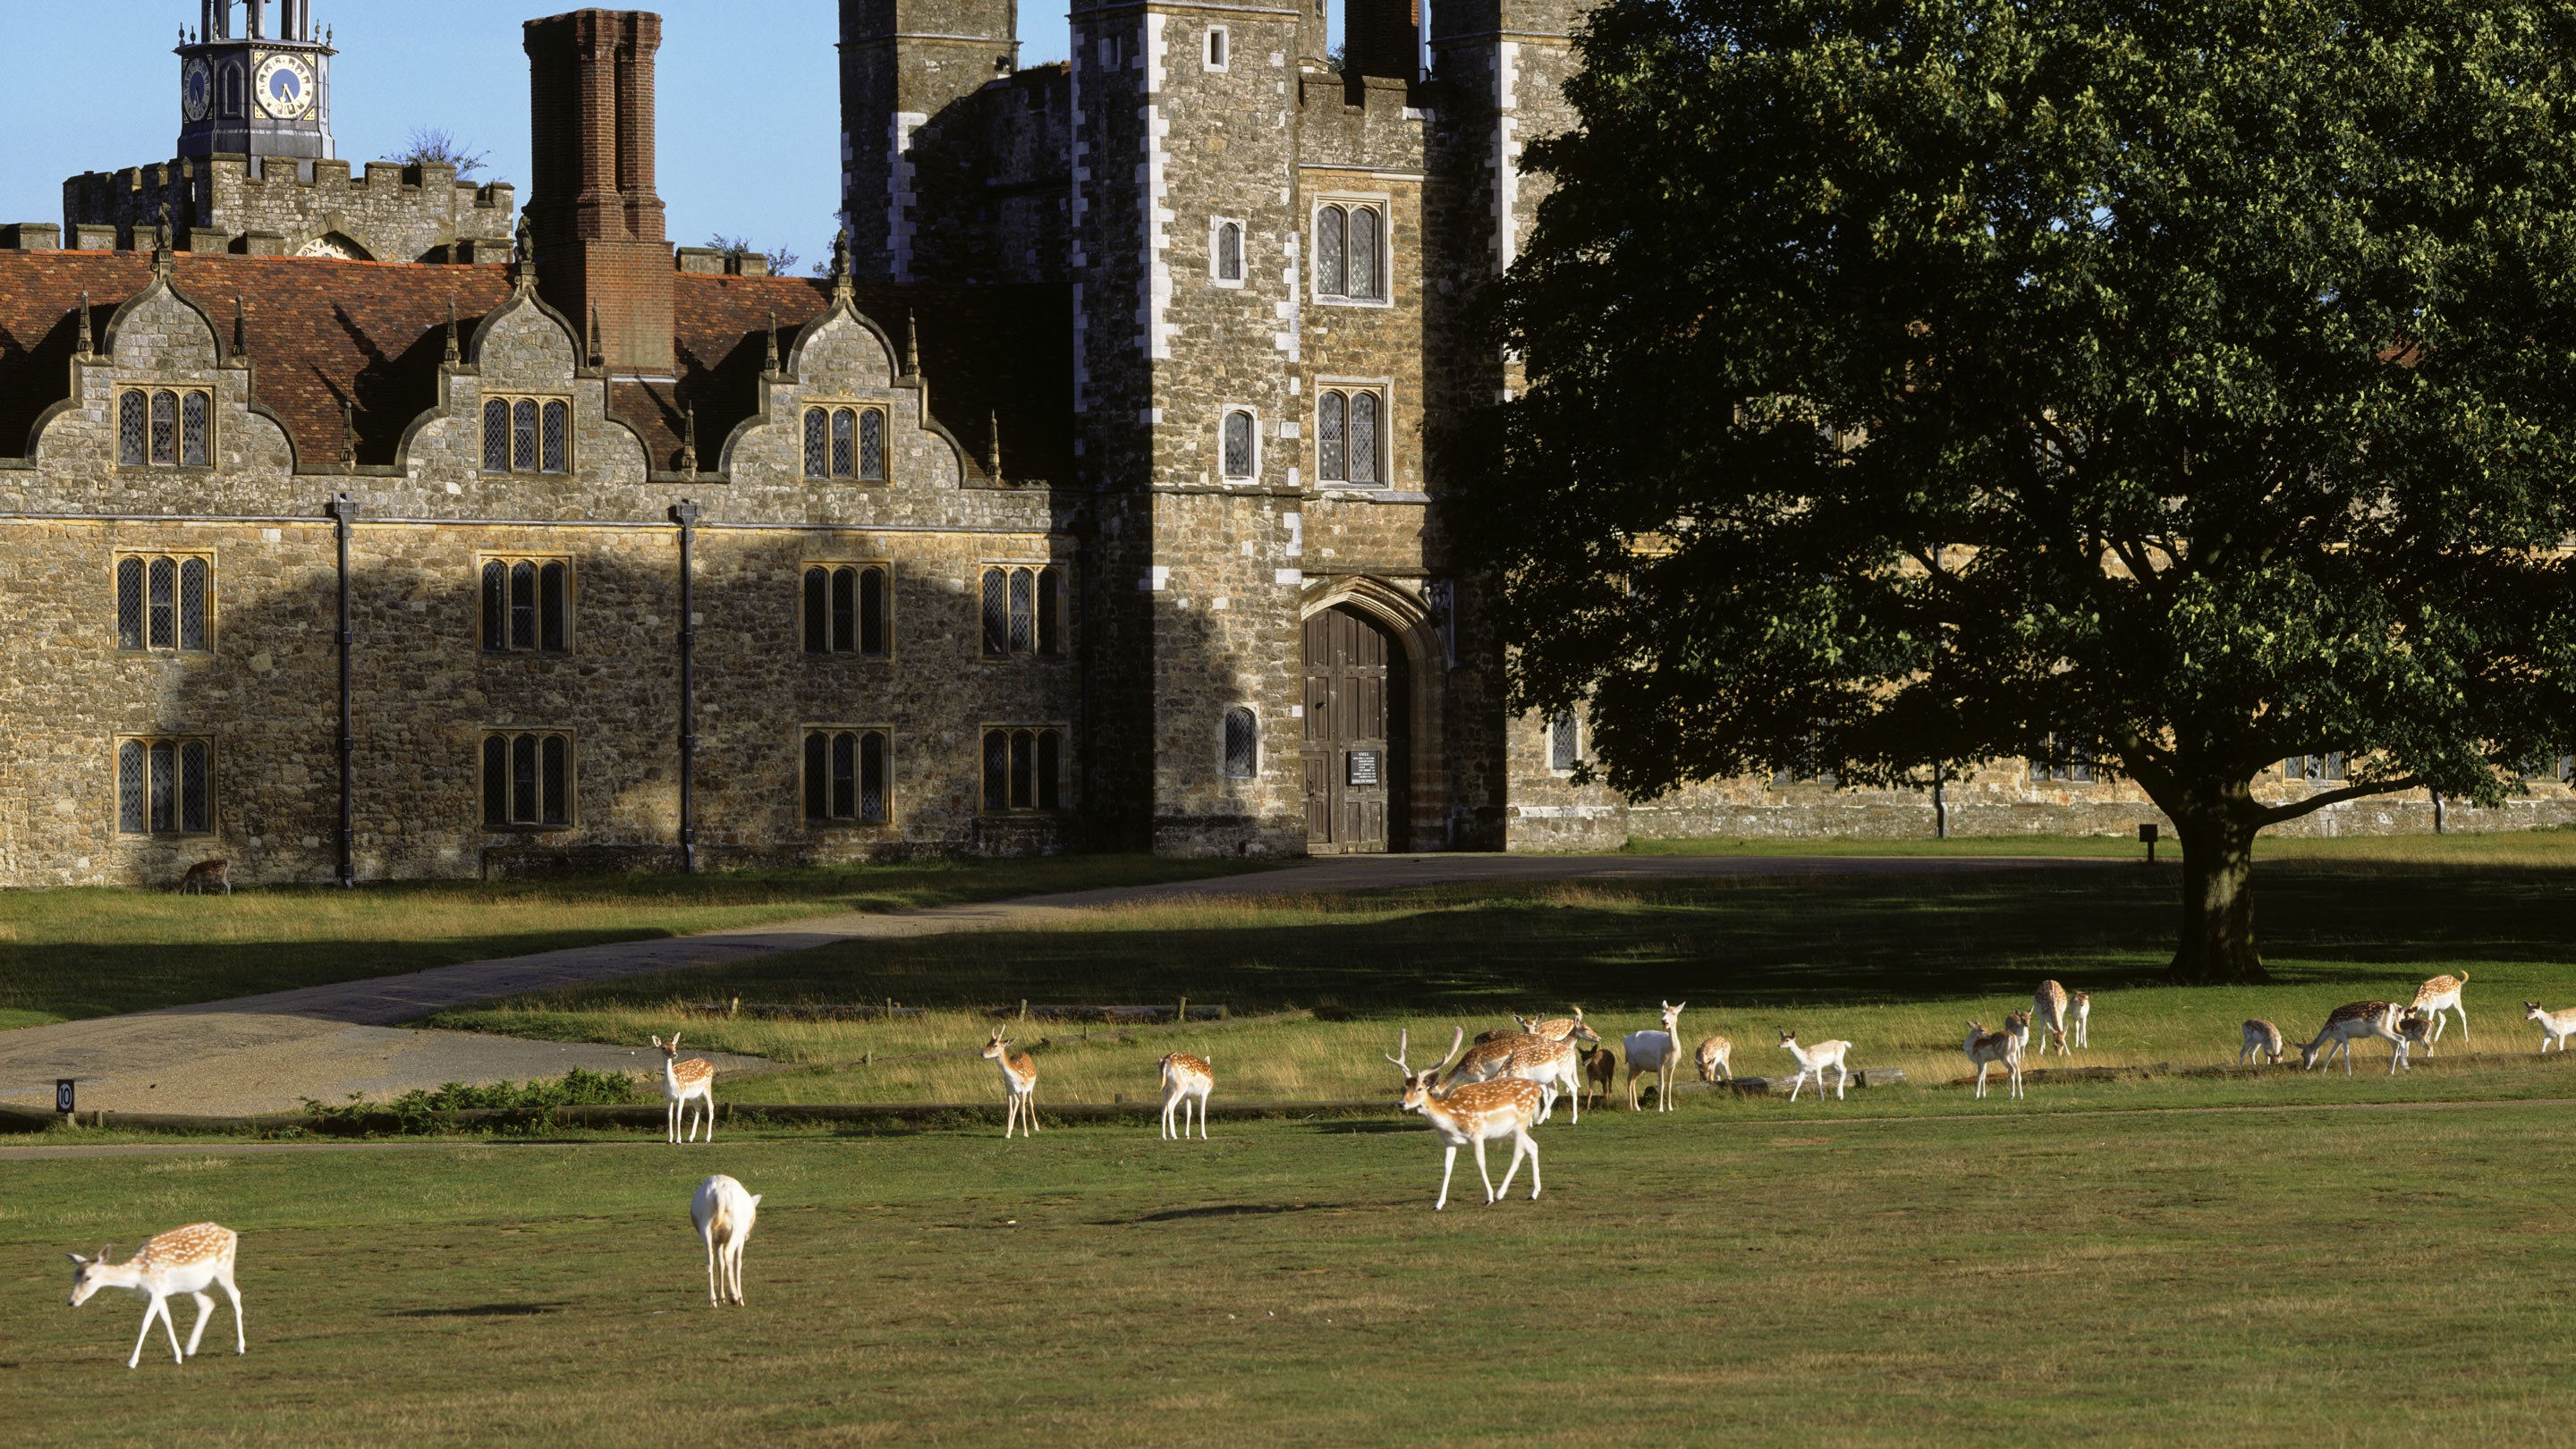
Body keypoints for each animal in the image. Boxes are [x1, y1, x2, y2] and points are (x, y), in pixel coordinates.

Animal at [66, 1223, 244, 1369]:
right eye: (74, 1276)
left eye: (88, 1277)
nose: (71, 1301)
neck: (139, 1276)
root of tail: (232, 1233)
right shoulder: (159, 1293)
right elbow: (167, 1321)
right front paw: (177, 1357)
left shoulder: (157, 1291)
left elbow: (145, 1323)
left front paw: (132, 1362)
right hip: (192, 1285)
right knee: (207, 1303)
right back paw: (189, 1350)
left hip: (224, 1270)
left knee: (236, 1295)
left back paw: (240, 1348)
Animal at [691, 1174, 761, 1307]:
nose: (747, 1236)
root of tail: (719, 1193)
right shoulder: (740, 1240)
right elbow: (738, 1263)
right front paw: (741, 1299)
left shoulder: (718, 1240)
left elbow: (720, 1264)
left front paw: (721, 1298)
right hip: (737, 1229)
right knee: (728, 1254)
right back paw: (734, 1297)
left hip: (705, 1229)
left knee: (710, 1259)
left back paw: (712, 1300)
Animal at [1387, 1028, 1546, 1211]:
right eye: (1403, 1088)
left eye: (1420, 1088)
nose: (1401, 1103)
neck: (1451, 1119)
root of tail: (1535, 1088)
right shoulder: (1449, 1142)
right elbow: (1447, 1168)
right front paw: (1438, 1203)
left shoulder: (1476, 1133)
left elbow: (1481, 1163)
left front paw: (1488, 1197)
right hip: (1510, 1130)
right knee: (1533, 1146)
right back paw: (1533, 1193)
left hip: (1521, 1122)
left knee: (1518, 1153)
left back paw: (1499, 1194)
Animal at [2299, 1001, 2414, 1076]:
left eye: (2303, 1054)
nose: (2305, 1067)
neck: (2329, 1029)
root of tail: (2393, 1006)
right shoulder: (2338, 1039)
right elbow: (2331, 1053)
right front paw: (2323, 1072)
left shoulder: (2343, 1034)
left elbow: (2346, 1053)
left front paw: (2348, 1073)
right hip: (2387, 1028)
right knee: (2395, 1045)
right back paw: (2390, 1072)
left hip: (2380, 1028)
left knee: (2401, 1039)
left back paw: (2405, 1067)